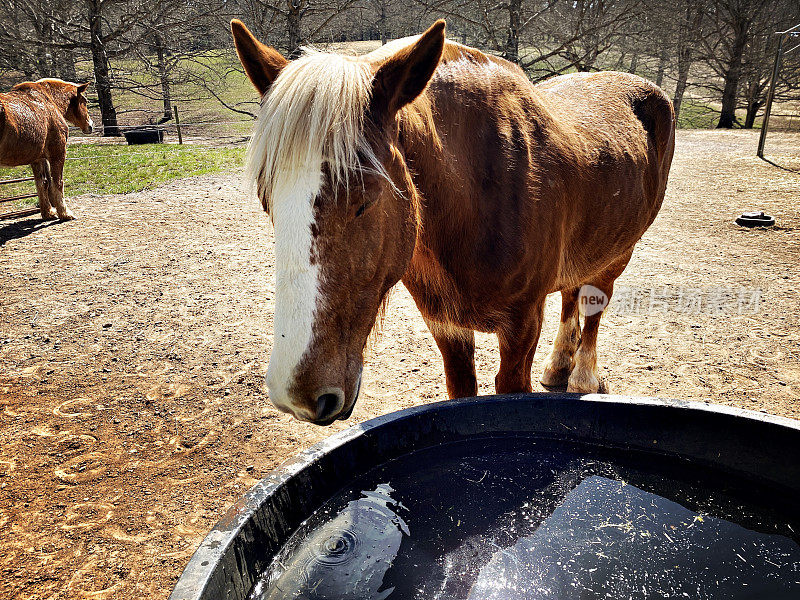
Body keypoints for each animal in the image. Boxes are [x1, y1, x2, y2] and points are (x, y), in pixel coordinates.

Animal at [0, 78, 94, 220]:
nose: (90, 126)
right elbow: (57, 182)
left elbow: (42, 183)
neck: (49, 101)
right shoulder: (58, 153)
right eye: (85, 101)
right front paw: (65, 213)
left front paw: (48, 212)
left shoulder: (37, 158)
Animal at [230, 17, 676, 422]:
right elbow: (461, 391)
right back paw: (558, 365)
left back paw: (582, 374)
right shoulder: (445, 325)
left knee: (594, 302)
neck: (480, 196)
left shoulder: (522, 327)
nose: (296, 394)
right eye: (267, 201)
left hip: (618, 251)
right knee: (571, 293)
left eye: (364, 199)